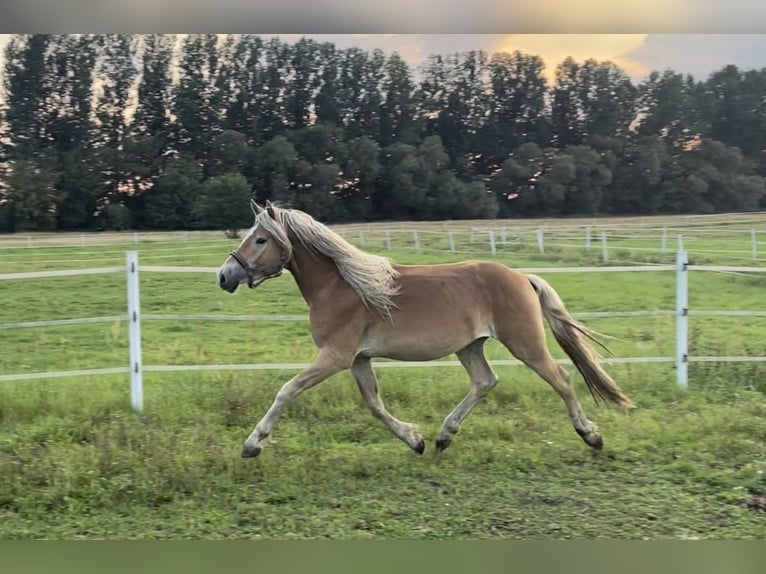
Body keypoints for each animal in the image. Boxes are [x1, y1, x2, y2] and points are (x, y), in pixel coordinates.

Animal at [218, 200, 636, 462]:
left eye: (260, 239)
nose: (225, 276)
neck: (341, 285)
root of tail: (522, 277)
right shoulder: (358, 359)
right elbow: (375, 404)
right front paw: (415, 440)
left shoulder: (335, 357)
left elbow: (287, 390)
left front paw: (252, 445)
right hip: (470, 346)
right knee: (485, 381)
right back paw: (443, 437)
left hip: (525, 343)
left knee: (561, 378)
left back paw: (591, 436)